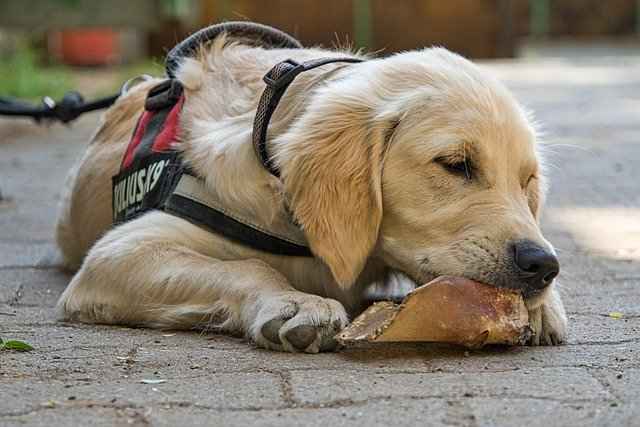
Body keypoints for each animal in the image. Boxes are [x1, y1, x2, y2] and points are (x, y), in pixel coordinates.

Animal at [55, 37, 564, 352]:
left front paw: (545, 307)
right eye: (456, 164)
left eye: (527, 182)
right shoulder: (119, 251)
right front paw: (296, 303)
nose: (543, 266)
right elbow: (248, 266)